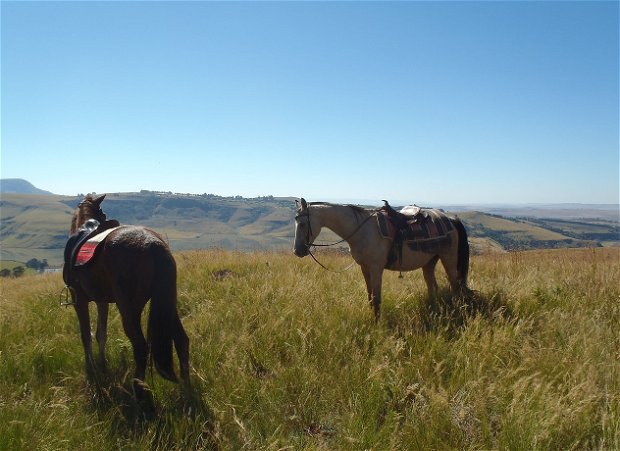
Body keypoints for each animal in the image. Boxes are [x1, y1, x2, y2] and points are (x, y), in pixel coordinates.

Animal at [63, 194, 189, 396]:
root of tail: (154, 244)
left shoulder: (79, 300)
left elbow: (86, 335)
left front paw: (91, 368)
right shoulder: (102, 301)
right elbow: (101, 334)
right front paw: (102, 364)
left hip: (129, 311)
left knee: (141, 348)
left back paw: (139, 389)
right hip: (167, 305)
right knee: (182, 341)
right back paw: (187, 389)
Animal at [294, 198, 470, 322]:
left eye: (302, 224)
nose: (298, 251)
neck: (362, 230)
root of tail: (450, 219)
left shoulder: (376, 268)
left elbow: (377, 299)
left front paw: (377, 325)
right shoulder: (365, 268)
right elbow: (370, 297)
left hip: (448, 258)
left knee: (454, 285)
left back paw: (457, 310)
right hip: (429, 262)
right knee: (432, 286)